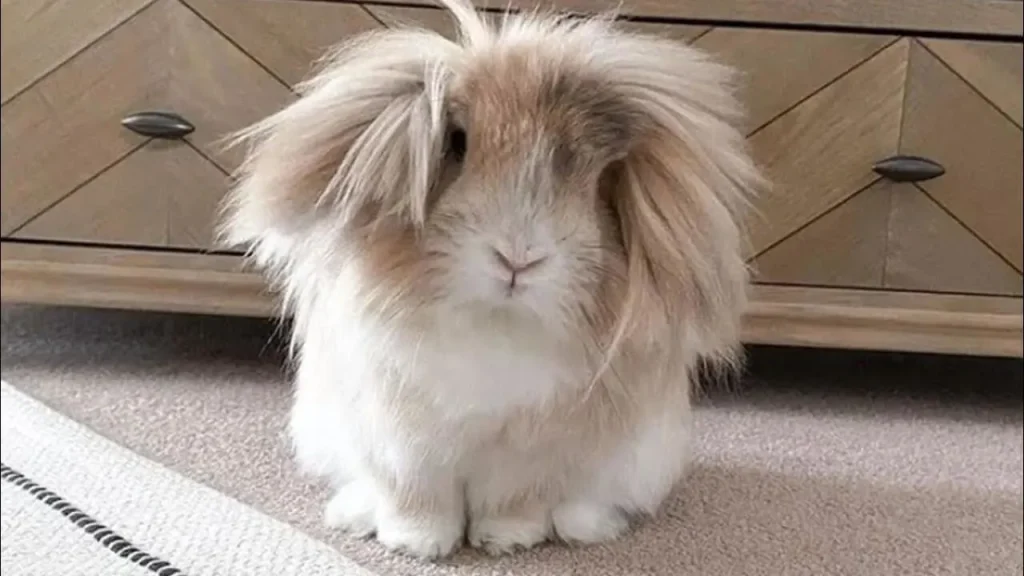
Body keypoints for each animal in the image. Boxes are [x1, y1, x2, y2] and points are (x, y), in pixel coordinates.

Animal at [220, 0, 763, 560]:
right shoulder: (404, 442)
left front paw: (507, 540)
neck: (497, 322)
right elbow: (417, 496)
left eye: (597, 177)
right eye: (457, 144)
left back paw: (583, 527)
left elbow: (515, 499)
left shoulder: (533, 453)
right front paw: (418, 544)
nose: (518, 258)